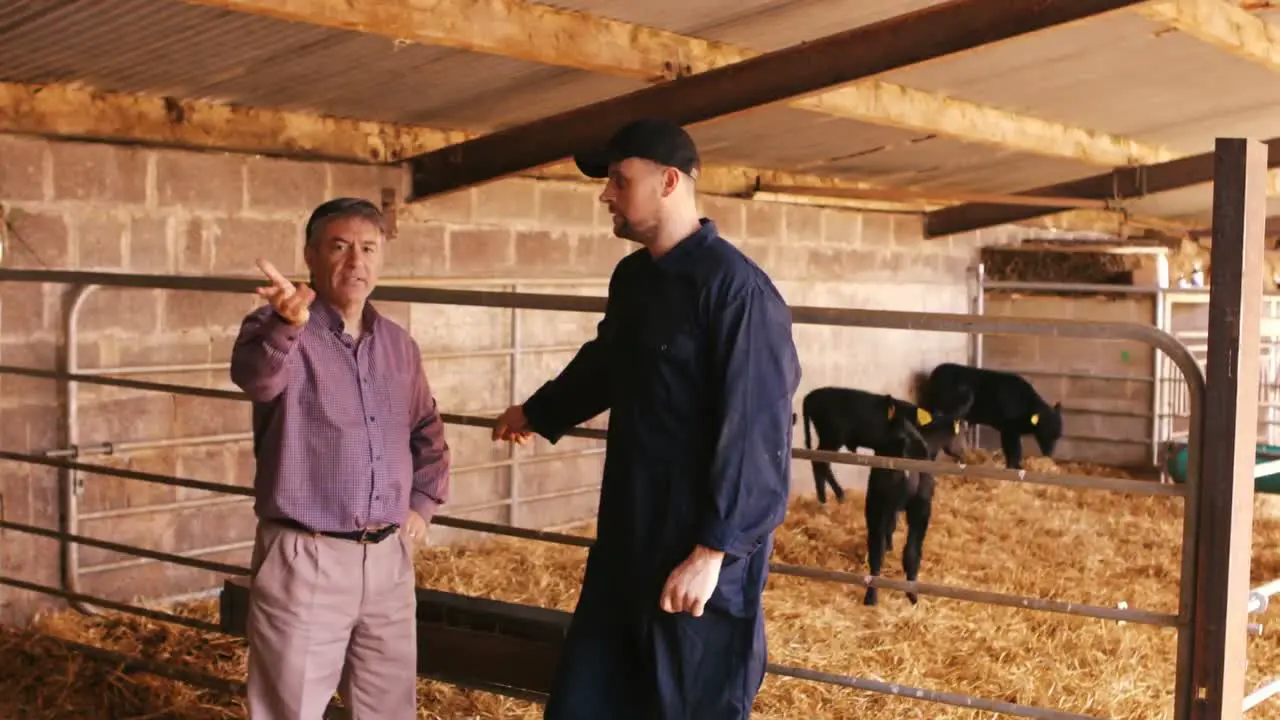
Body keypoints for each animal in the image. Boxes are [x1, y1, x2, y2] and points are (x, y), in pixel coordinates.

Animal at [921, 361, 1059, 468]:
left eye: (1057, 435)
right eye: (1045, 429)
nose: (1049, 453)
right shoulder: (1008, 430)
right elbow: (1013, 450)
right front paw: (1014, 466)